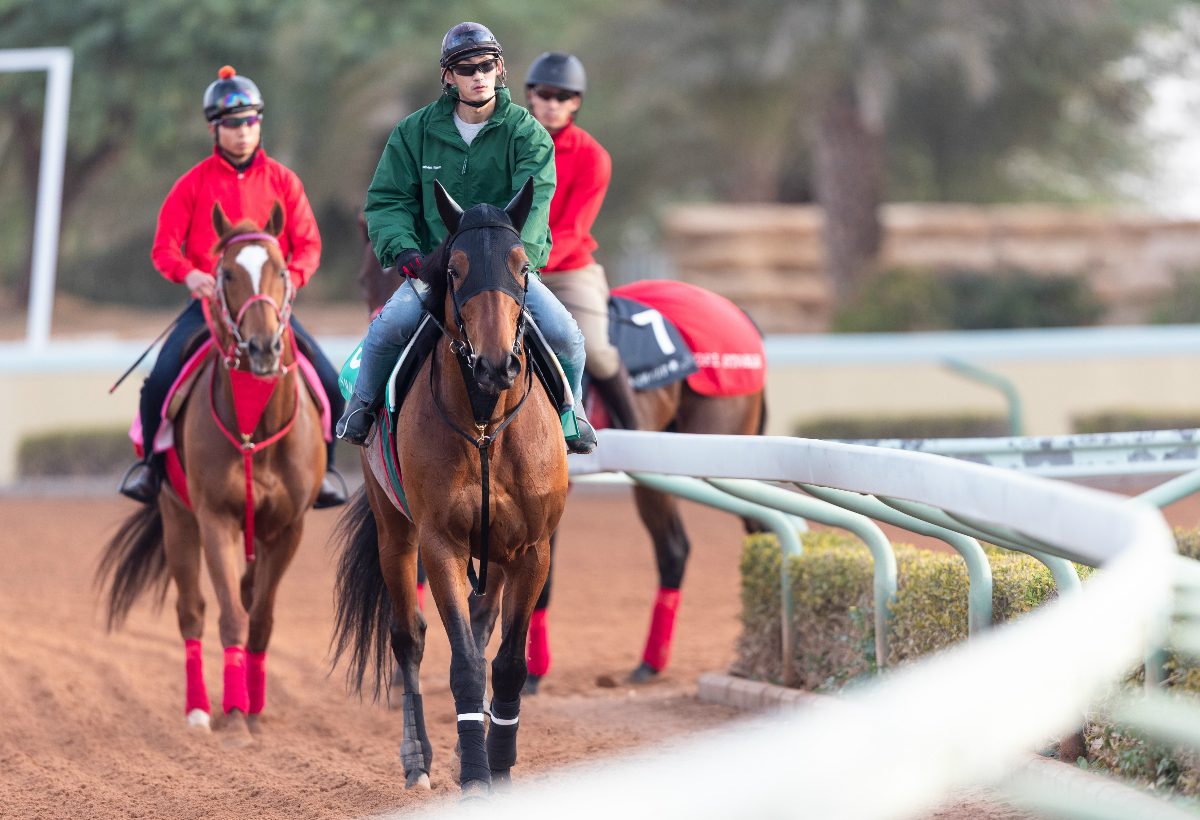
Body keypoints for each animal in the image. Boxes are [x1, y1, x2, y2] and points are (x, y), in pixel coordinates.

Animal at [99, 204, 326, 744]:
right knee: (192, 612)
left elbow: (260, 618)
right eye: (226, 275)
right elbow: (231, 618)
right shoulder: (214, 519)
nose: (263, 348)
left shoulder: (287, 529)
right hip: (177, 518)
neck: (254, 429)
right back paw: (202, 710)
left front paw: (254, 710)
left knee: (245, 596)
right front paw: (237, 717)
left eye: (281, 271)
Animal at [333, 177, 566, 797]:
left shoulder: (532, 548)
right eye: (455, 269)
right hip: (394, 532)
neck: (485, 425)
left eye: (521, 266)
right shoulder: (441, 545)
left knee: (483, 632)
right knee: (407, 637)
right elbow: (461, 661)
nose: (495, 364)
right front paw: (476, 773)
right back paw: (417, 759)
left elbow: (506, 661)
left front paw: (500, 762)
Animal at [357, 219, 768, 691]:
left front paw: (531, 671)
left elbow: (538, 584)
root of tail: (741, 318)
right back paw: (652, 662)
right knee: (684, 545)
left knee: (716, 538)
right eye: (365, 280)